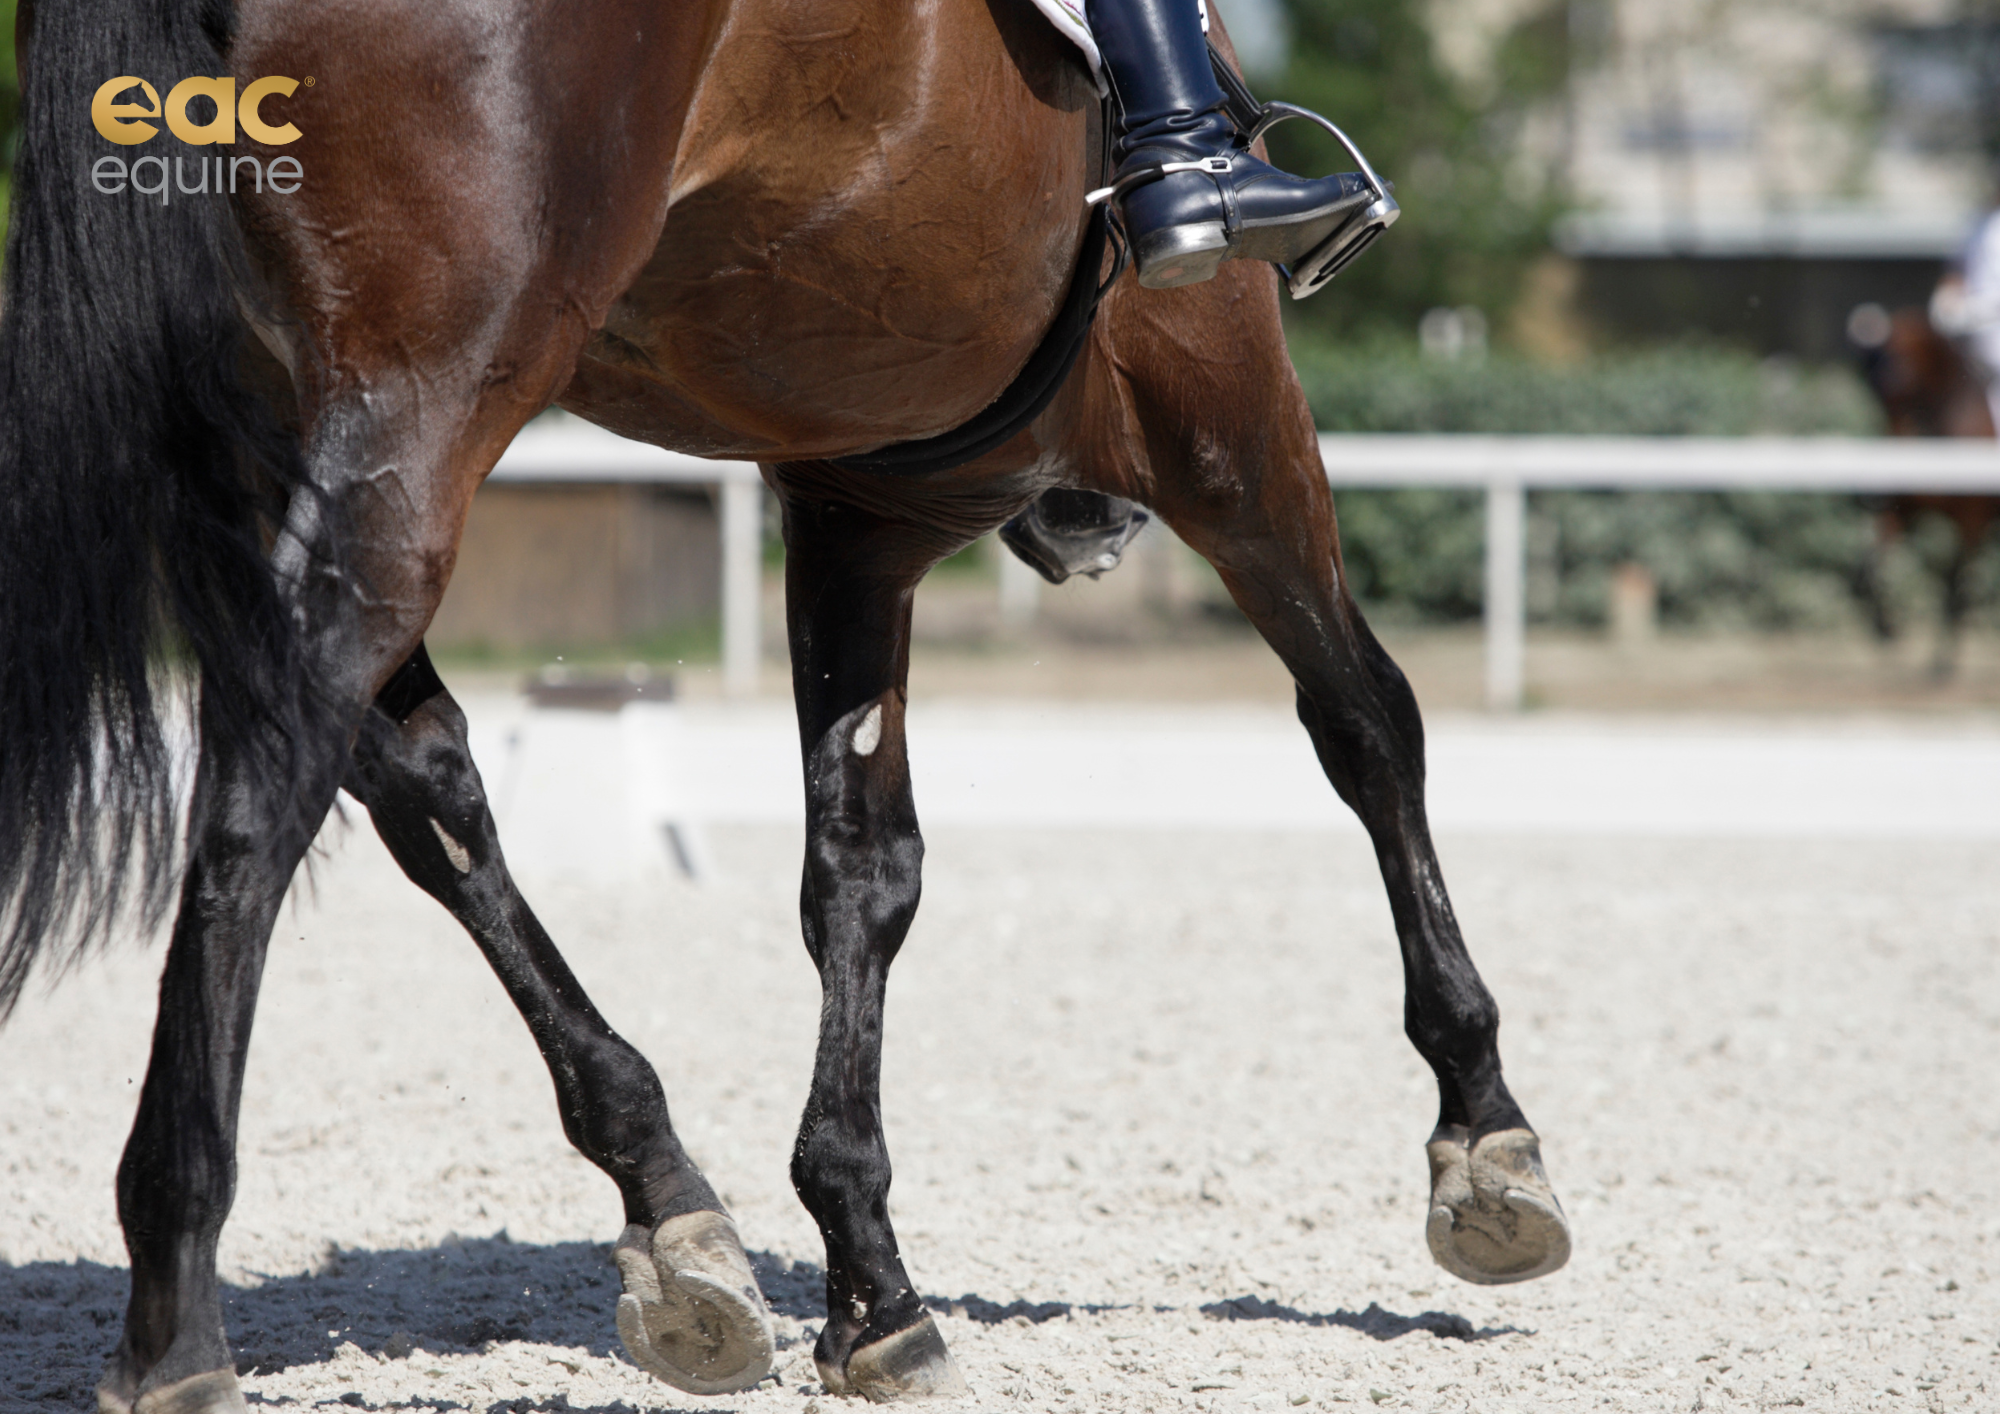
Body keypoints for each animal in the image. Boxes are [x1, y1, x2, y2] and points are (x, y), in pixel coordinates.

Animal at [0, 0, 1569, 1407]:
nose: (1089, 532)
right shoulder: (1215, 392)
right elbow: (1366, 723)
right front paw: (1486, 1135)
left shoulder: (855, 513)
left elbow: (859, 872)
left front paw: (866, 1280)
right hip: (422, 408)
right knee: (261, 799)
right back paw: (176, 1312)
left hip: (276, 442)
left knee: (418, 785)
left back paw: (663, 1201)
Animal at [1850, 304, 2000, 676]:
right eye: (1871, 393)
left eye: (1901, 382)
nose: (1879, 490)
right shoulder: (1905, 512)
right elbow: (1872, 568)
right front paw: (1885, 629)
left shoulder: (1972, 523)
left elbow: (1953, 584)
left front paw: (1942, 662)